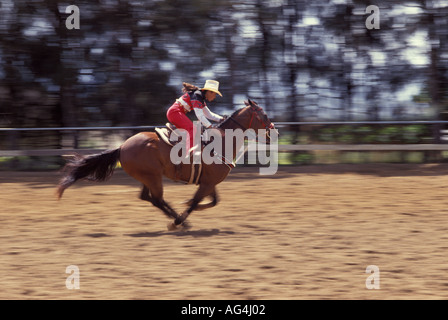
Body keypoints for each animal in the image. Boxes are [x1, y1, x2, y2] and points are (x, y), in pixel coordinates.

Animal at [56, 99, 276, 229]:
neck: (221, 142)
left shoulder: (209, 182)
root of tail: (122, 147)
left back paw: (176, 218)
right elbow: (197, 201)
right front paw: (183, 215)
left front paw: (187, 207)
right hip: (153, 177)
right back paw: (178, 221)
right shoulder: (207, 183)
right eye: (263, 115)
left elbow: (212, 201)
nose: (273, 132)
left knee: (149, 198)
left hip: (147, 178)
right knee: (157, 199)